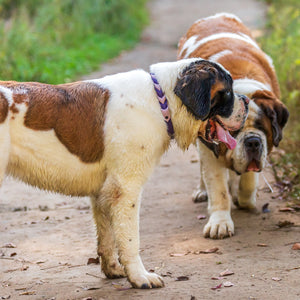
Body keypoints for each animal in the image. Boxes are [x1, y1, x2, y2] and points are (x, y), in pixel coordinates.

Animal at [0, 56, 248, 288]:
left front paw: (113, 270)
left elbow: (107, 236)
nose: (246, 100)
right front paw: (140, 277)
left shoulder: (104, 191)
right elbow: (130, 239)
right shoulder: (126, 188)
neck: (161, 101)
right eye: (227, 93)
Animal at [177, 13, 290, 239]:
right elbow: (218, 189)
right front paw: (220, 222)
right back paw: (202, 190)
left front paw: (243, 196)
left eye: (262, 128)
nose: (253, 142)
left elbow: (248, 181)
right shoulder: (209, 149)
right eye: (233, 131)